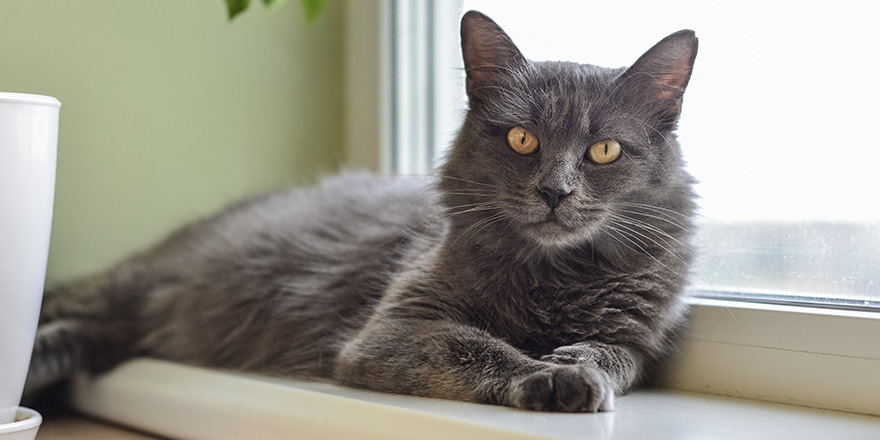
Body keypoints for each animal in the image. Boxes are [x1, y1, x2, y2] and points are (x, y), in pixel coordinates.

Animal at [27, 12, 696, 412]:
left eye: (604, 150)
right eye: (522, 140)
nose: (555, 192)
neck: (552, 278)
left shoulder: (637, 337)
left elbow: (615, 356)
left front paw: (578, 364)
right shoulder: (393, 330)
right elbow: (480, 347)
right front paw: (551, 376)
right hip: (127, 287)